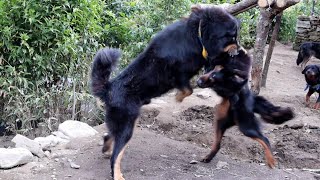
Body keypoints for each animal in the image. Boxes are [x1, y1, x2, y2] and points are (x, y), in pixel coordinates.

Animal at [89, 4, 296, 179]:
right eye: (231, 37)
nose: (239, 50)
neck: (196, 36)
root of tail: (108, 88)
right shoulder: (179, 71)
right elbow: (187, 89)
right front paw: (179, 97)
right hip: (127, 125)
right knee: (116, 154)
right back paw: (117, 173)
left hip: (123, 122)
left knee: (109, 136)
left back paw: (106, 149)